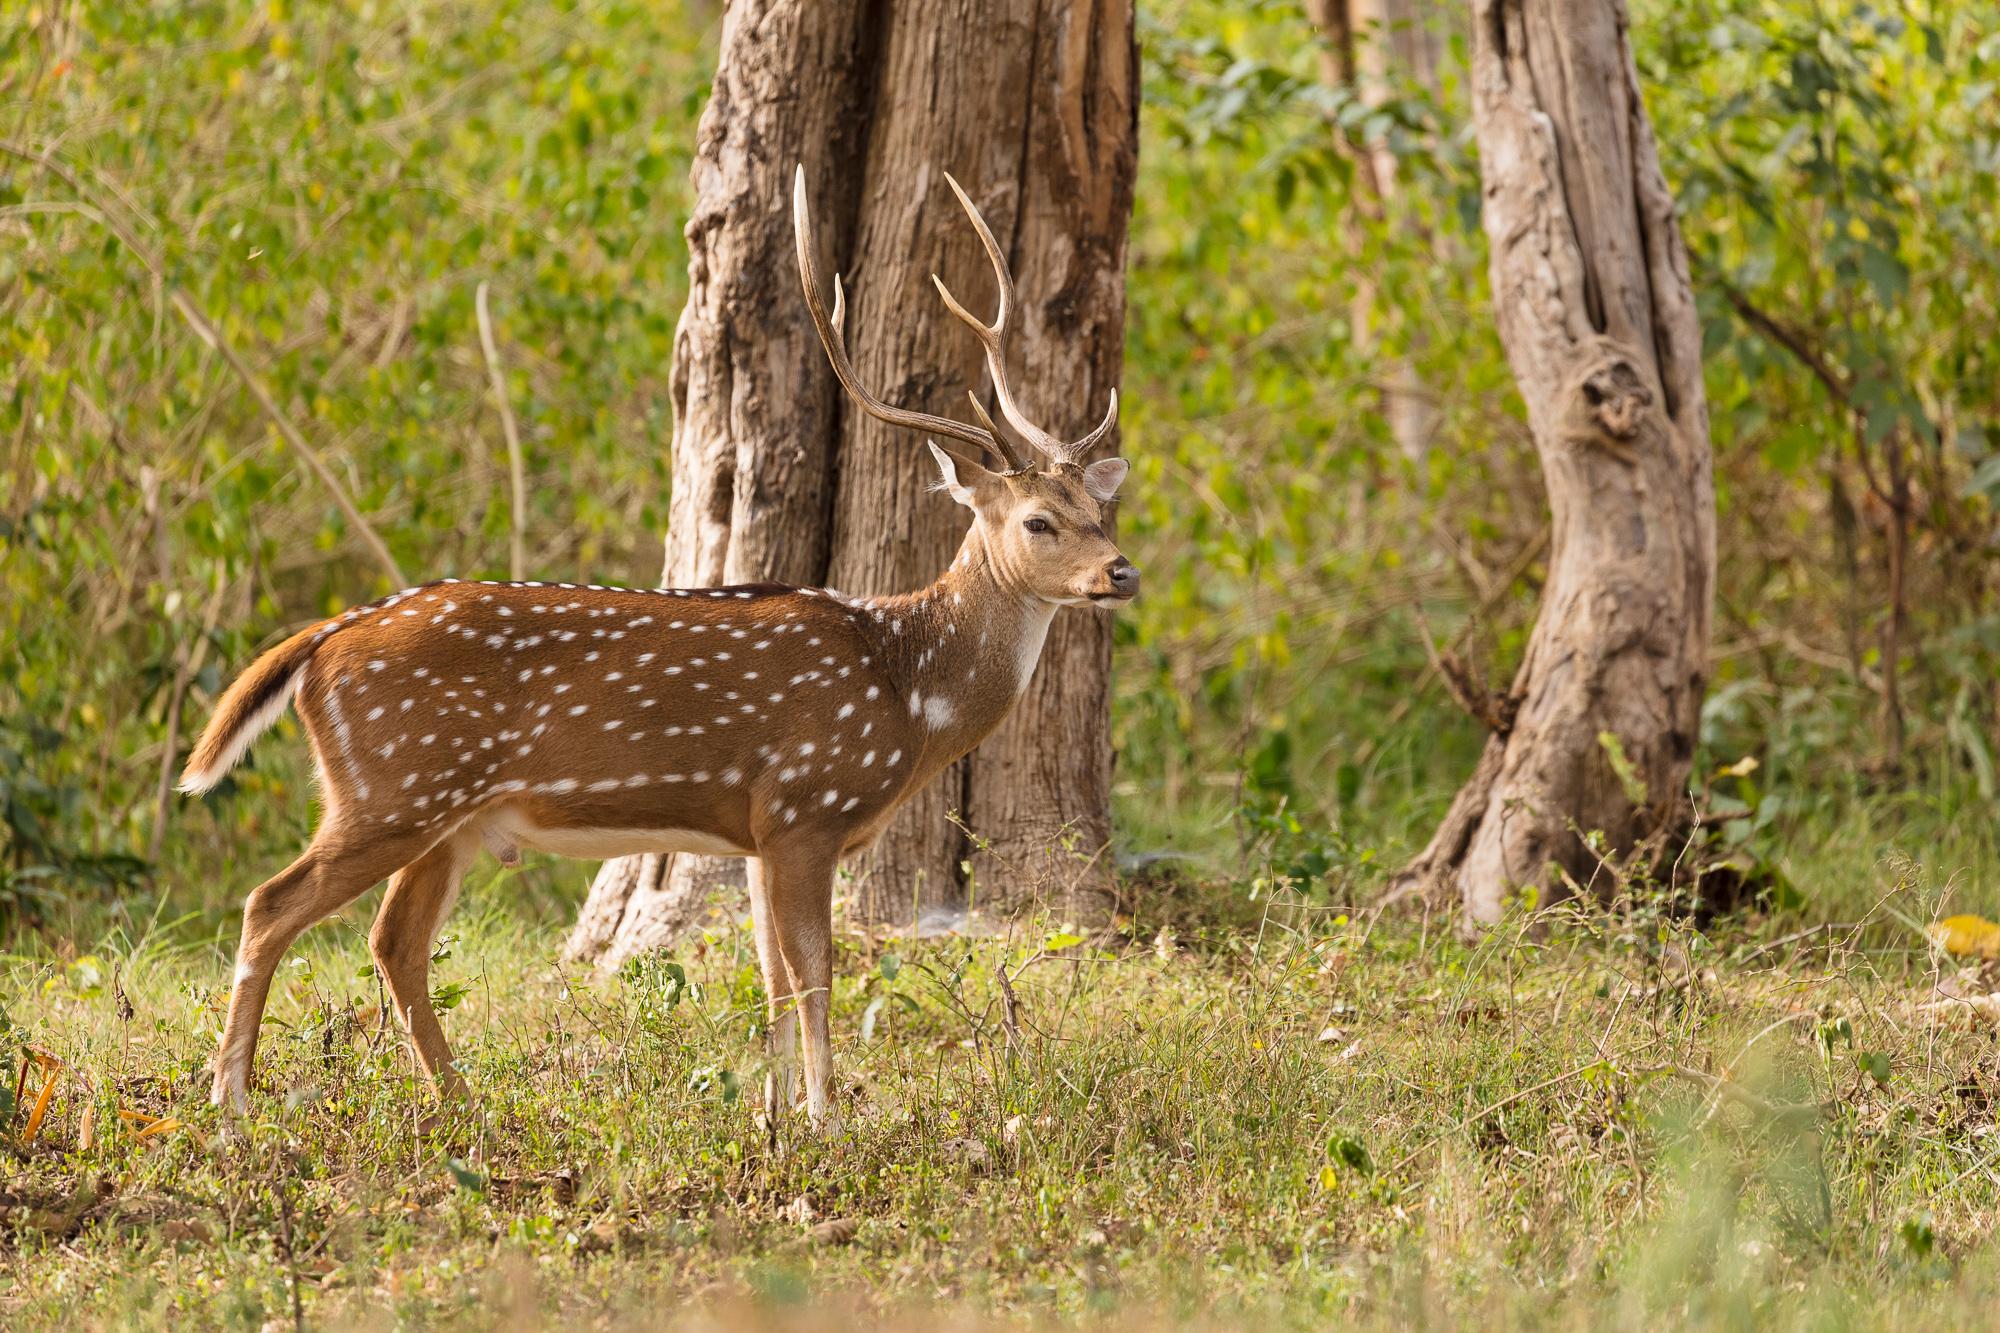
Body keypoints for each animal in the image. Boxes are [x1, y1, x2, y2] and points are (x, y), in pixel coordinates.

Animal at [184, 163, 1144, 1120]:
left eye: (1101, 509)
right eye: (1039, 519)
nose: (1122, 571)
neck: (908, 689)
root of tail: (321, 640)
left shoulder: (761, 829)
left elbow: (773, 977)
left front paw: (772, 1114)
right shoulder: (807, 803)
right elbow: (815, 974)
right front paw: (828, 1116)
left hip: (442, 809)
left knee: (393, 939)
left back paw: (461, 1099)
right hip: (393, 786)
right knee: (271, 905)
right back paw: (232, 1099)